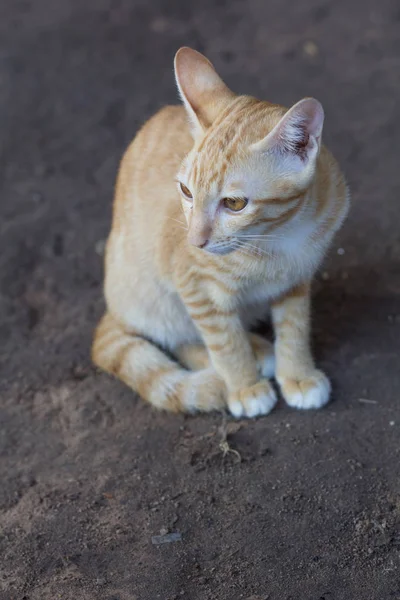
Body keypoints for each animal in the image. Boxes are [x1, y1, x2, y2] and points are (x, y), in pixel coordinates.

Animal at [92, 45, 348, 418]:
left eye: (235, 203)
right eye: (186, 191)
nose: (195, 241)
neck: (281, 234)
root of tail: (114, 308)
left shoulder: (296, 281)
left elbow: (295, 328)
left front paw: (297, 374)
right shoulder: (195, 287)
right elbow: (224, 342)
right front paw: (243, 386)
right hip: (156, 296)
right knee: (181, 338)